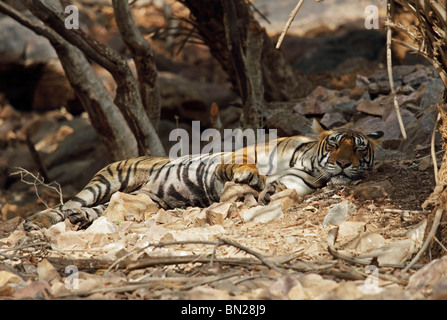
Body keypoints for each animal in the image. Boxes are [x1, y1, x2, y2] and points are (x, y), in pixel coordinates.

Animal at [23, 120, 384, 230]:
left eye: (359, 150)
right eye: (335, 144)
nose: (342, 164)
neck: (310, 162)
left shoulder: (299, 182)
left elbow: (280, 186)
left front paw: (266, 192)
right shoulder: (250, 153)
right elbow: (245, 165)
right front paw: (251, 179)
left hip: (136, 200)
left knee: (92, 210)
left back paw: (76, 219)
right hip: (107, 181)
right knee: (68, 203)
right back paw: (35, 221)